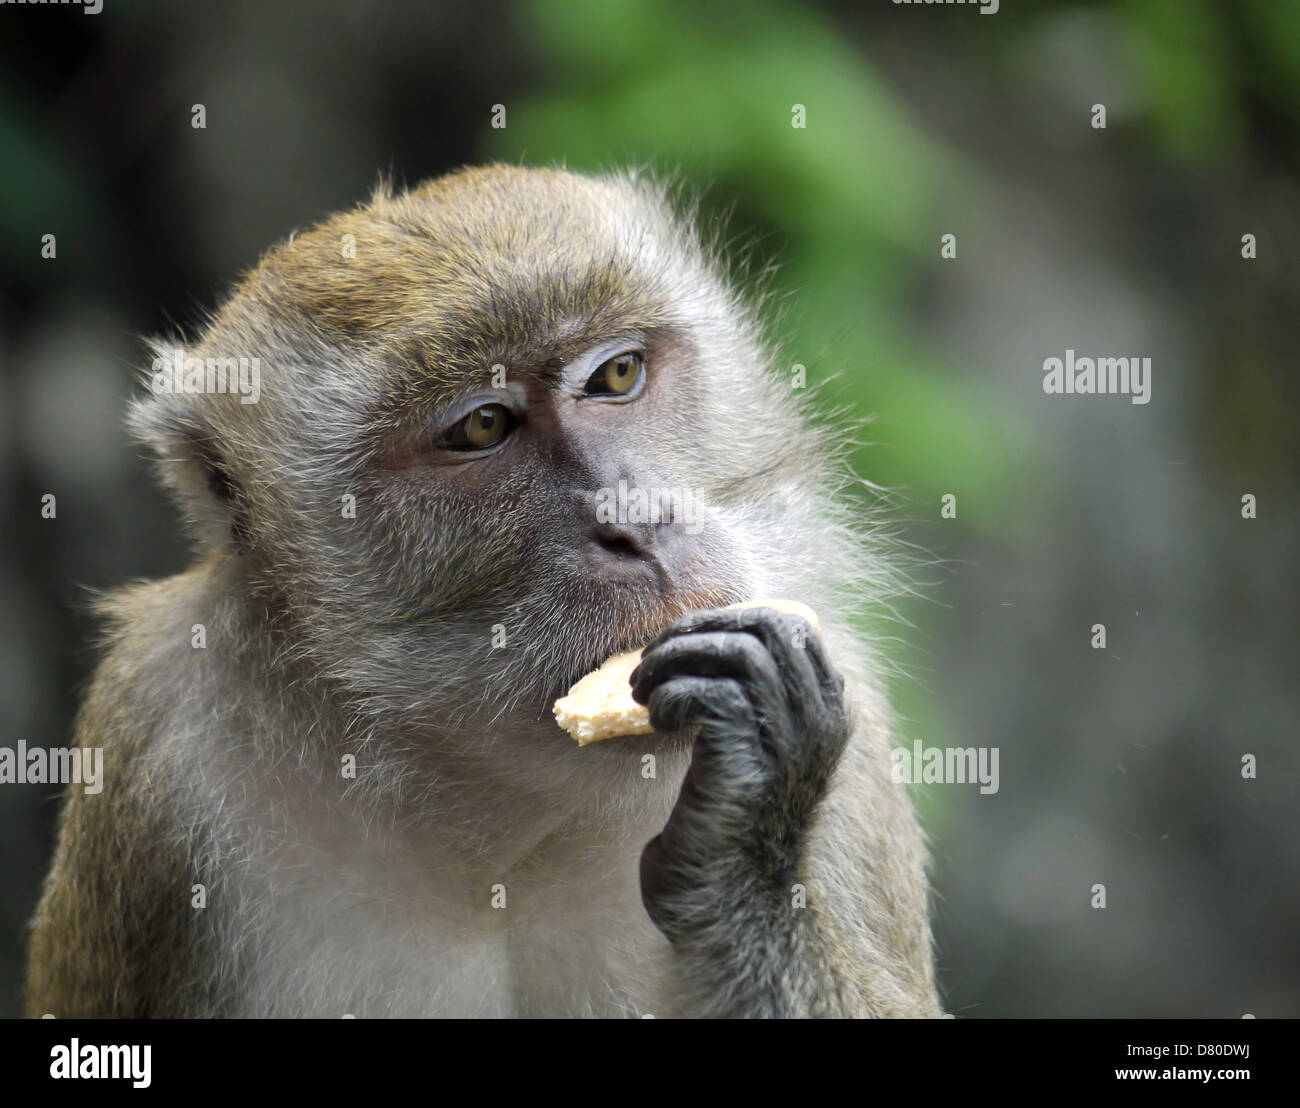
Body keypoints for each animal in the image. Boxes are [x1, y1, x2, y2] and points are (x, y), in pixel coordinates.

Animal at [26, 165, 940, 1018]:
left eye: (616, 375)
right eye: (482, 427)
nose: (637, 522)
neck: (500, 826)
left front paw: (751, 842)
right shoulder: (155, 734)